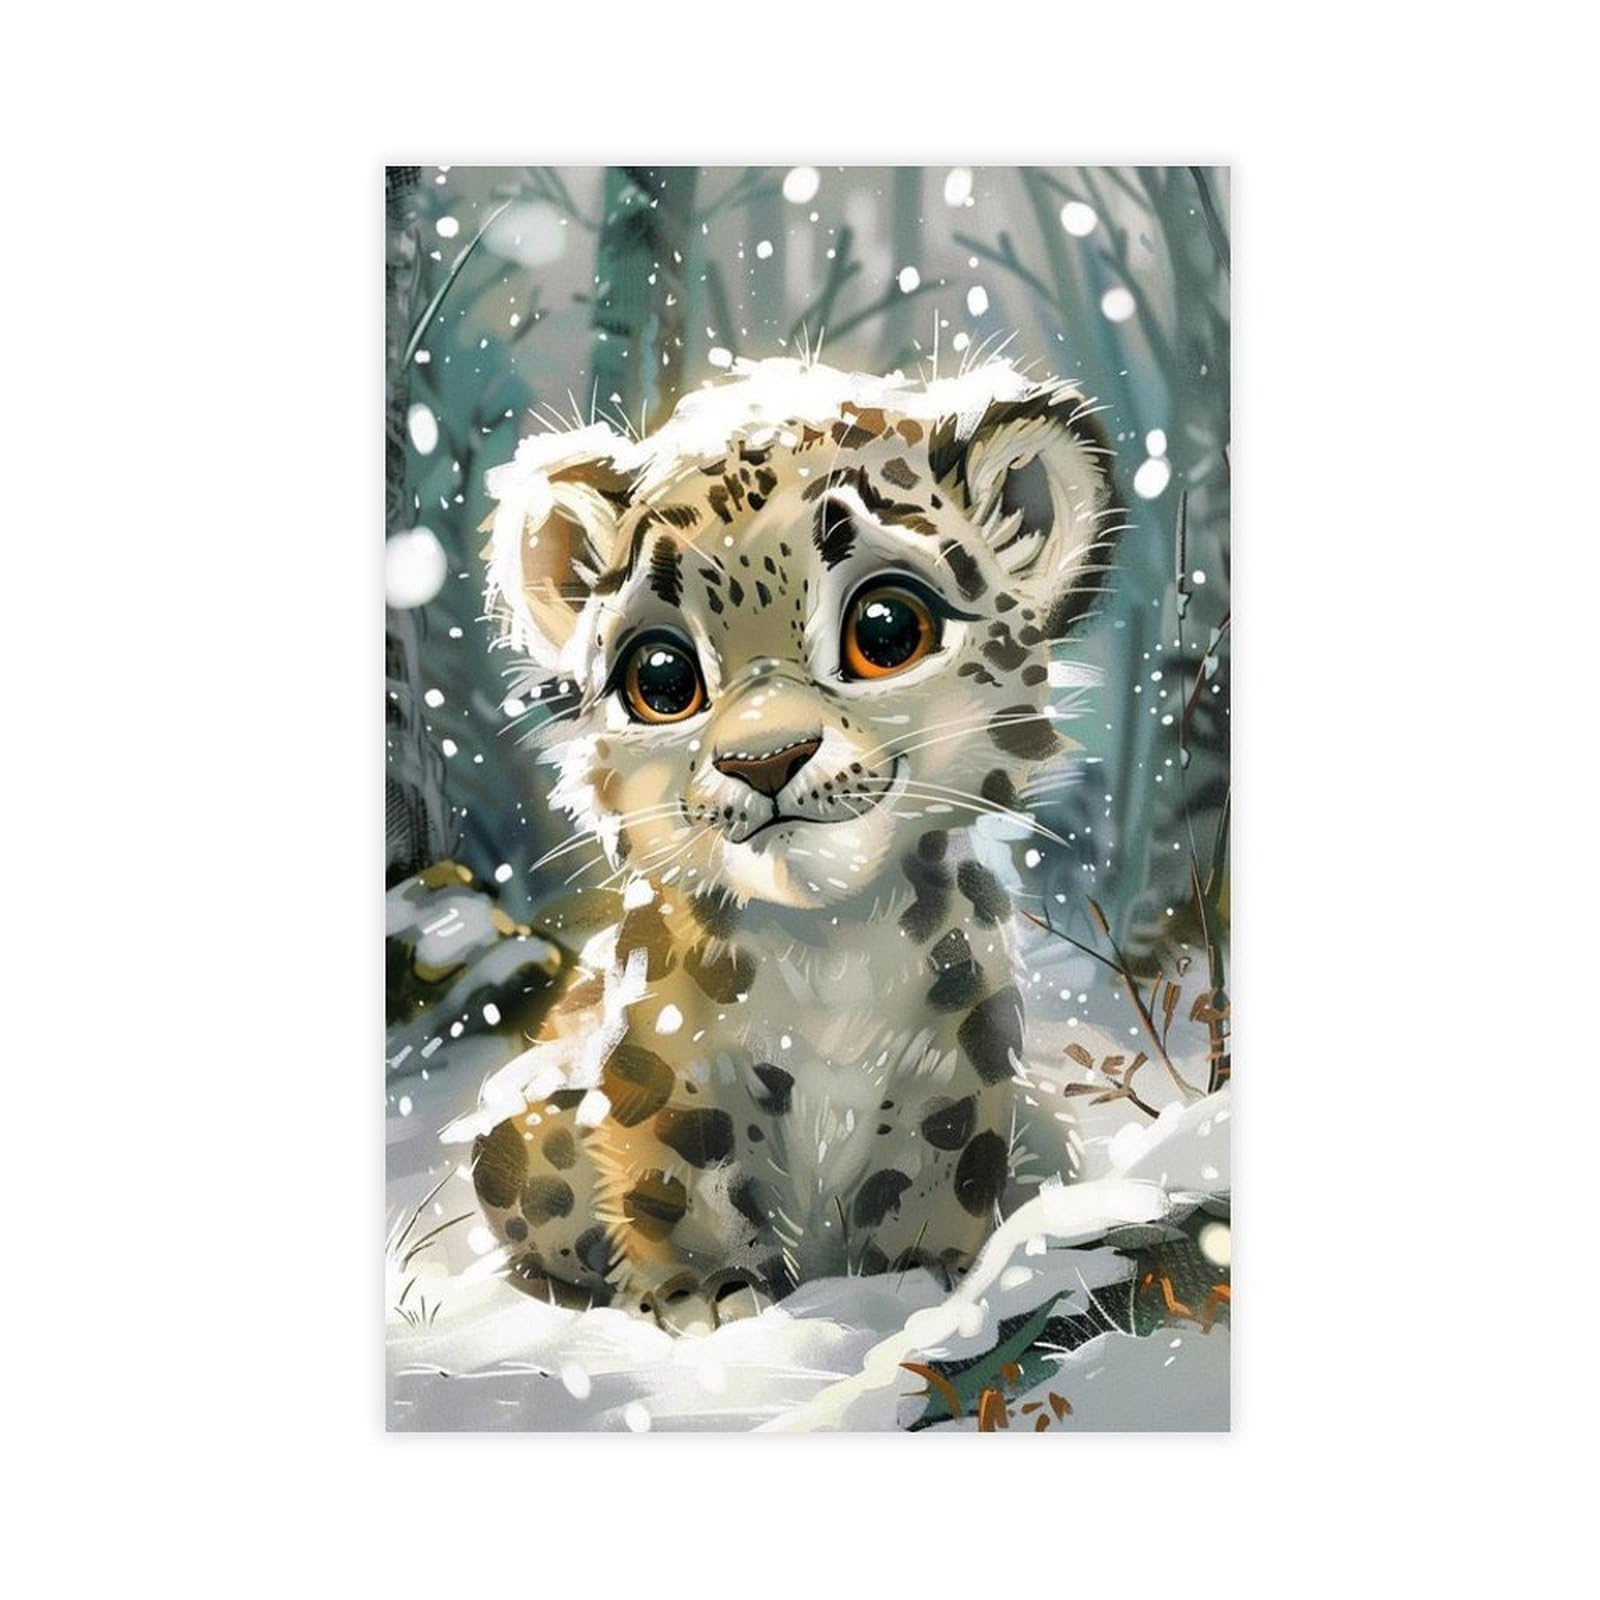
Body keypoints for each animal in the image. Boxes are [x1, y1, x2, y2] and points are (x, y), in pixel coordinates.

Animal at [447, 355, 1119, 1335]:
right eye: (661, 677)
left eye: (886, 629)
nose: (764, 759)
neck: (830, 945)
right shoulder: (665, 1065)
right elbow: (678, 1179)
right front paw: (708, 1296)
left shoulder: (960, 1059)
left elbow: (929, 1176)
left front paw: (913, 1284)